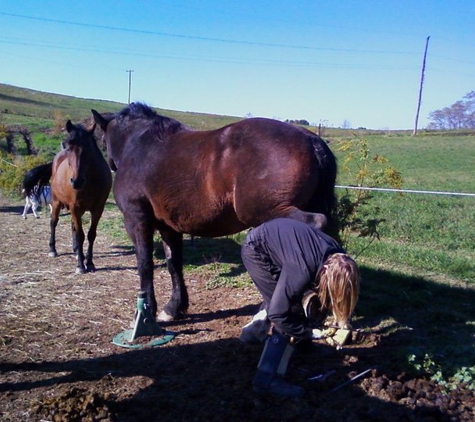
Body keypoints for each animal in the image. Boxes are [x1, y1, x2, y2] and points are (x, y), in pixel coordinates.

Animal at [27, 120, 113, 276]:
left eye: (88, 149)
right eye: (69, 148)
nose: (76, 181)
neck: (90, 180)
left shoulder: (98, 208)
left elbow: (91, 234)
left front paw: (89, 263)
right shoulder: (75, 207)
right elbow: (80, 235)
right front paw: (80, 266)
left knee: (73, 226)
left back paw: (76, 251)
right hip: (56, 203)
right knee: (53, 223)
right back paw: (53, 250)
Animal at [92, 104, 338, 322]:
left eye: (101, 139)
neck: (140, 147)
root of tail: (311, 140)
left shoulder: (137, 220)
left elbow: (145, 264)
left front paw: (145, 311)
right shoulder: (169, 227)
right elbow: (174, 264)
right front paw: (174, 307)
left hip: (272, 213)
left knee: (313, 228)